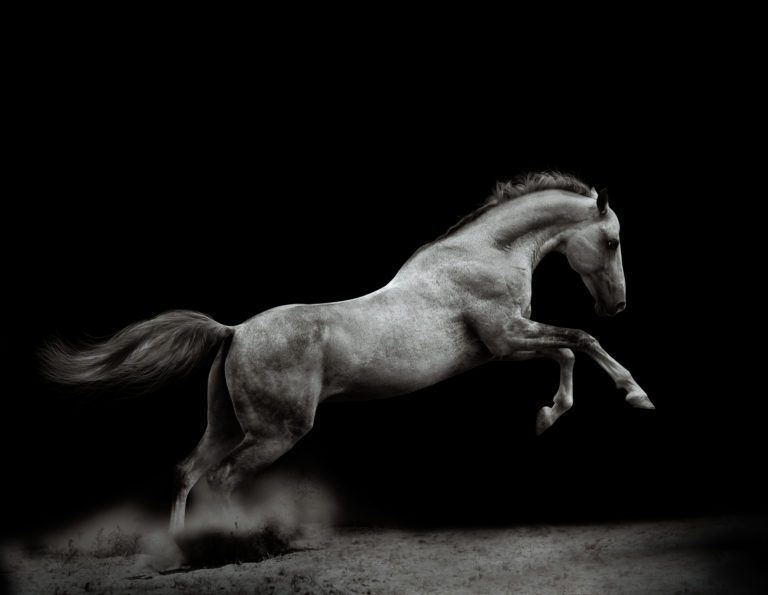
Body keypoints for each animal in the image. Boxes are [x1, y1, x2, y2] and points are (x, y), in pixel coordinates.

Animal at [40, 171, 654, 532]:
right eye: (613, 241)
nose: (619, 304)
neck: (481, 254)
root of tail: (234, 331)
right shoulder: (507, 336)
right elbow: (582, 342)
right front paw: (635, 395)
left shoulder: (504, 347)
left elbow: (569, 352)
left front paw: (547, 417)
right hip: (276, 431)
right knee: (221, 480)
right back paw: (239, 545)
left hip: (226, 424)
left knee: (188, 471)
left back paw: (183, 552)